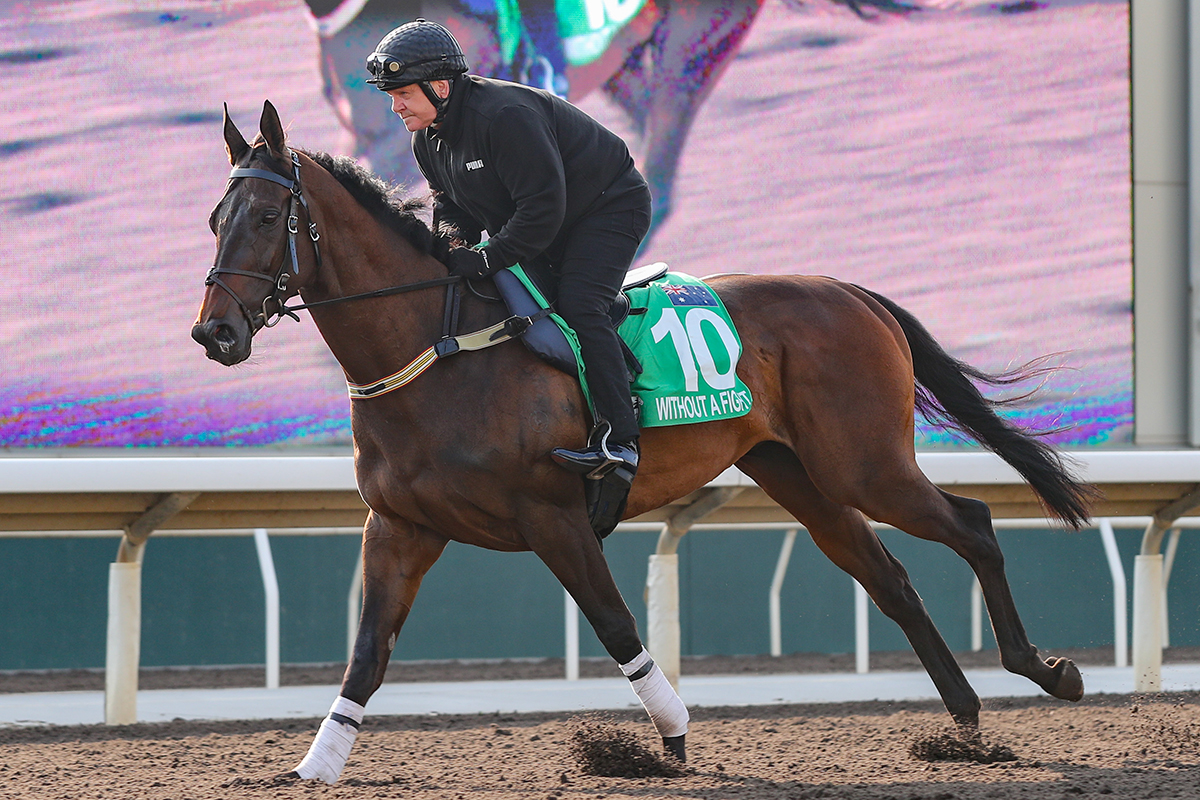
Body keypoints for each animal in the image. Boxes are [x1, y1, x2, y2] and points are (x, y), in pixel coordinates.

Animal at [192, 100, 1094, 782]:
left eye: (268, 216)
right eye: (214, 218)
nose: (215, 333)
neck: (434, 350)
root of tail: (850, 290)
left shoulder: (552, 515)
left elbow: (618, 627)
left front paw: (672, 737)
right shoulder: (400, 526)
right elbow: (366, 656)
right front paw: (311, 767)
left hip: (866, 464)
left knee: (973, 524)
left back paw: (1046, 670)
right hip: (800, 475)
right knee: (892, 579)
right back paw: (964, 723)